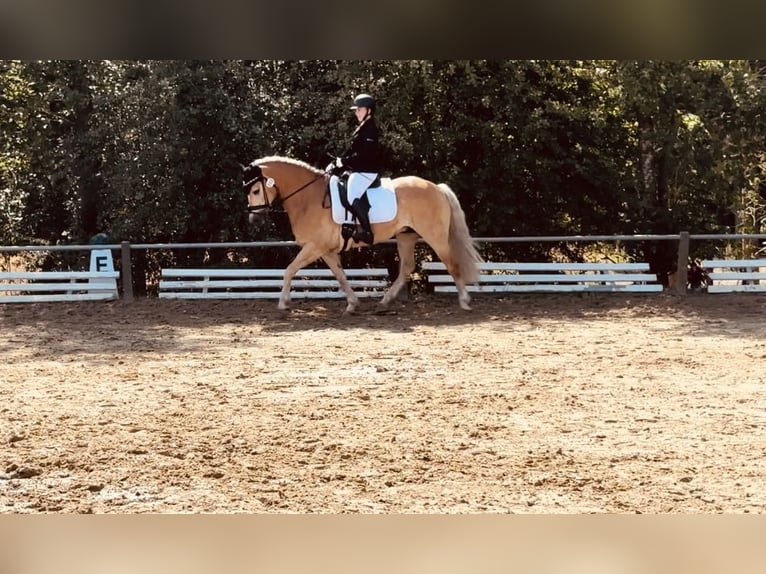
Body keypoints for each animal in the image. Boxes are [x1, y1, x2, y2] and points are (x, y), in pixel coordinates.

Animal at [243, 156, 484, 316]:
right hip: (406, 237)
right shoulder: (326, 250)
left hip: (435, 236)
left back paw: (465, 301)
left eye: (255, 191)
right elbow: (340, 276)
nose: (253, 220)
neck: (308, 198)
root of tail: (437, 188)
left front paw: (283, 303)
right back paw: (384, 303)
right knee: (406, 268)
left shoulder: (314, 247)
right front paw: (352, 304)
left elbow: (289, 270)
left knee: (451, 263)